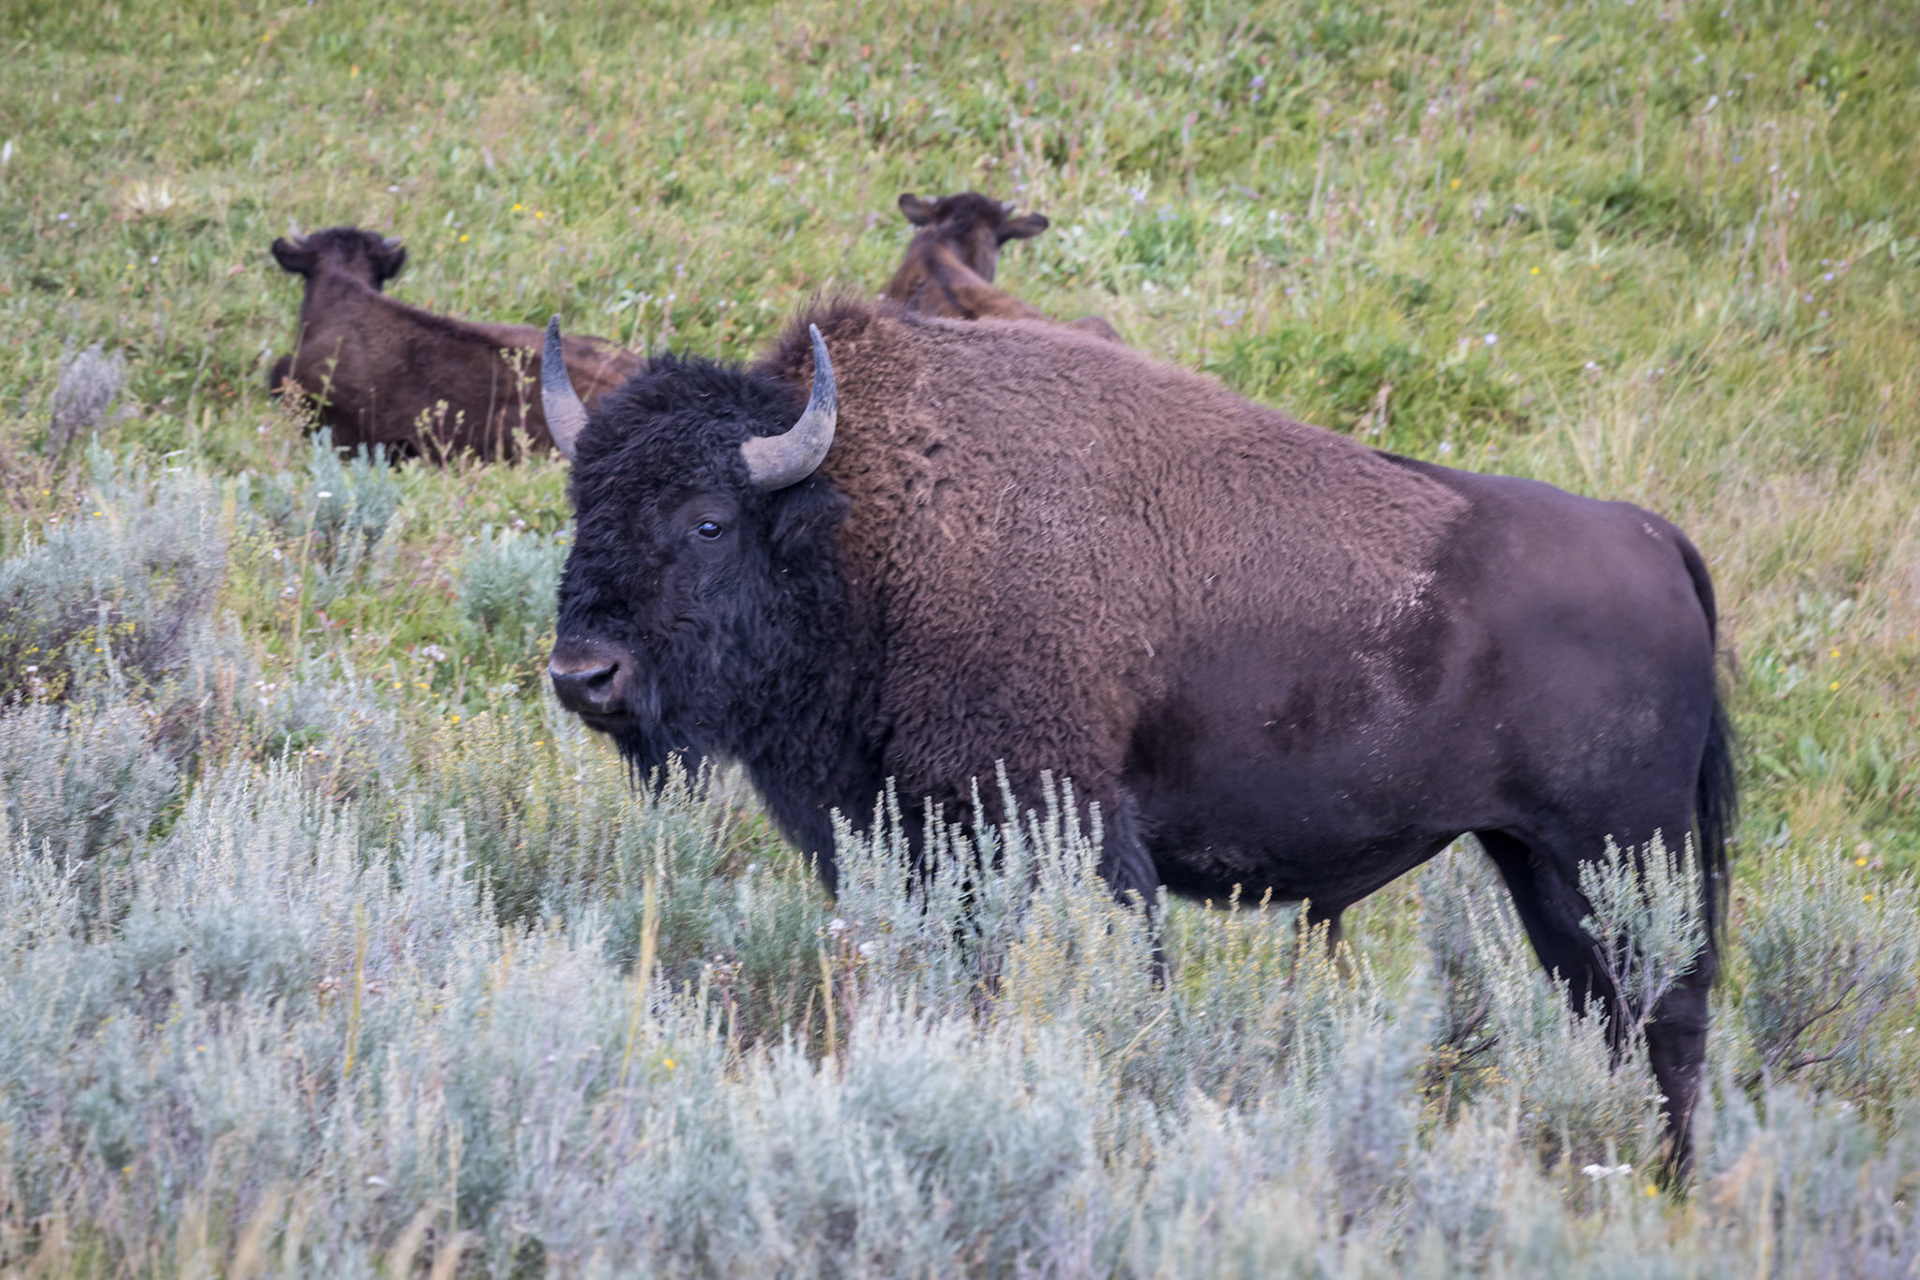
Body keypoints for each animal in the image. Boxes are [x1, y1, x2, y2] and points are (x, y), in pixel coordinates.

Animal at [540, 301, 1733, 1163]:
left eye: (707, 521)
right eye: (581, 506)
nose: (582, 673)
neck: (867, 527)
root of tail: (1654, 537)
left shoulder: (1063, 827)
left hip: (1620, 850)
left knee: (1667, 1017)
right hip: (1537, 861)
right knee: (1608, 1013)